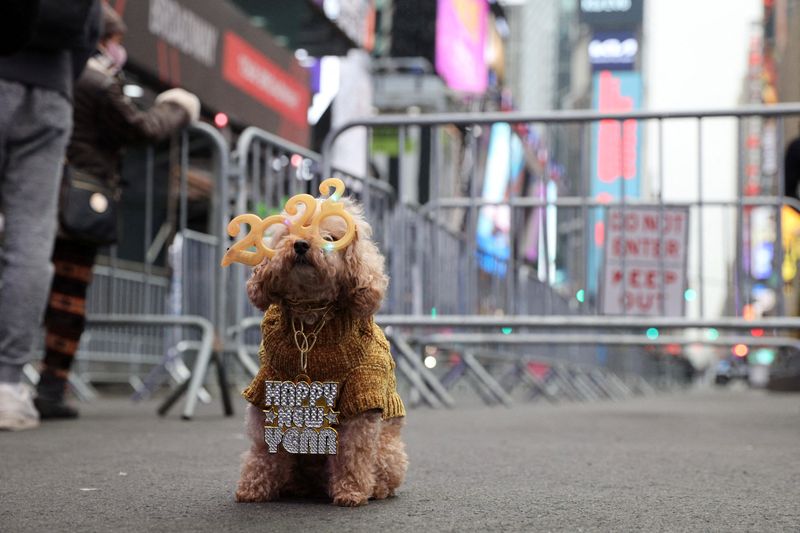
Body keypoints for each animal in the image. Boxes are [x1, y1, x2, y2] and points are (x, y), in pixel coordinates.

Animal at [231, 197, 406, 504]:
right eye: (287, 233)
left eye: (330, 237)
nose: (301, 245)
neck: (311, 319)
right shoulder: (269, 386)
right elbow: (263, 449)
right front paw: (253, 487)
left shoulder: (361, 391)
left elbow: (353, 452)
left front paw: (351, 491)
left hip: (389, 451)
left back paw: (374, 489)